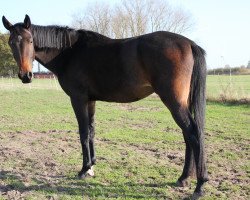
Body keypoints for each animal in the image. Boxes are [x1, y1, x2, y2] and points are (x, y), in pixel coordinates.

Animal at [2, 15, 209, 198]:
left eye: (30, 40)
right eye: (11, 42)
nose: (25, 76)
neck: (70, 52)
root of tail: (189, 43)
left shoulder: (78, 99)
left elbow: (83, 133)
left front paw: (84, 170)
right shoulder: (90, 100)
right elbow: (91, 131)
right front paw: (92, 166)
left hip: (173, 101)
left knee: (193, 133)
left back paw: (199, 186)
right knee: (188, 136)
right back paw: (183, 178)